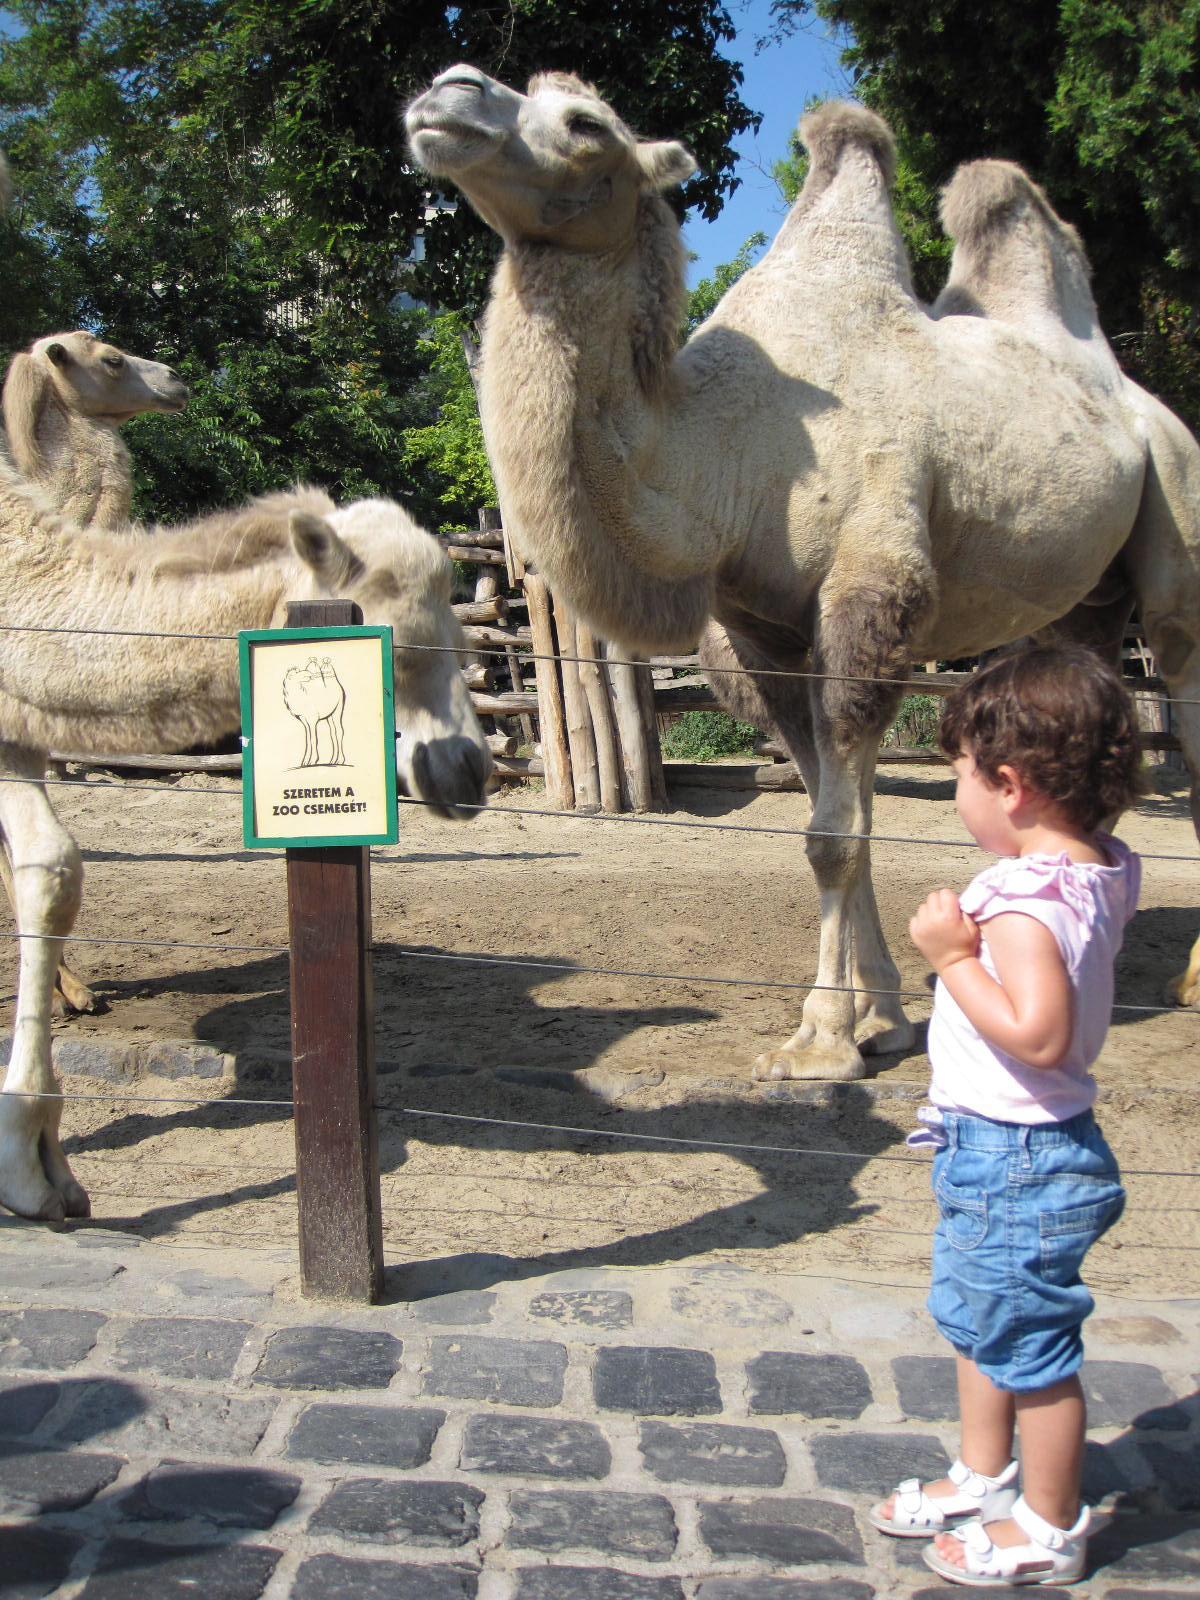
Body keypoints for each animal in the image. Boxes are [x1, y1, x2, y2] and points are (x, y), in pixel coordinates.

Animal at [409, 75, 1200, 1081]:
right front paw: (886, 1020)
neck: (729, 452)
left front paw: (820, 1041)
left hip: (1175, 496)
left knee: (1183, 676)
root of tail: (1135, 398)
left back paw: (1189, 980)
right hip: (1084, 601)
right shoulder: (764, 634)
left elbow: (834, 833)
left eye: (586, 125)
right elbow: (840, 821)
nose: (447, 94)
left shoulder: (871, 594)